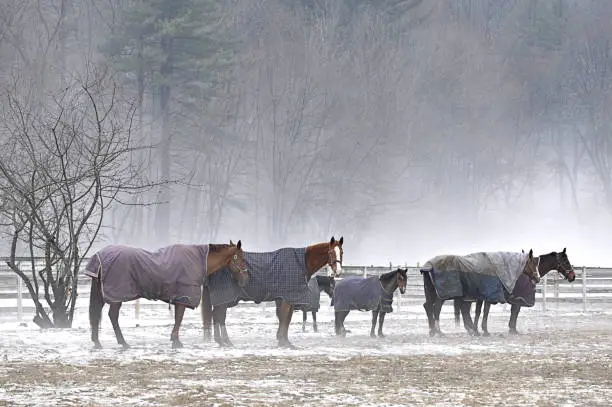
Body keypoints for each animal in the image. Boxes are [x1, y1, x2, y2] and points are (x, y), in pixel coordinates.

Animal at [86, 241, 249, 350]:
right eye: (241, 258)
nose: (245, 279)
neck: (198, 260)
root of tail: (99, 257)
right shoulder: (183, 299)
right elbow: (179, 319)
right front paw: (176, 342)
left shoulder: (179, 299)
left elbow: (177, 318)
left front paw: (174, 340)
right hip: (116, 298)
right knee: (113, 316)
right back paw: (123, 342)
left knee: (97, 314)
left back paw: (98, 342)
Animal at [202, 237, 342, 350]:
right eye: (330, 252)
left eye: (341, 252)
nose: (338, 271)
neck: (300, 263)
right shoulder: (286, 299)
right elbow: (284, 319)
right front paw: (283, 342)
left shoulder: (287, 299)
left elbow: (286, 319)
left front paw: (284, 341)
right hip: (224, 298)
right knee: (219, 316)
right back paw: (224, 341)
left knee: (217, 316)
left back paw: (223, 341)